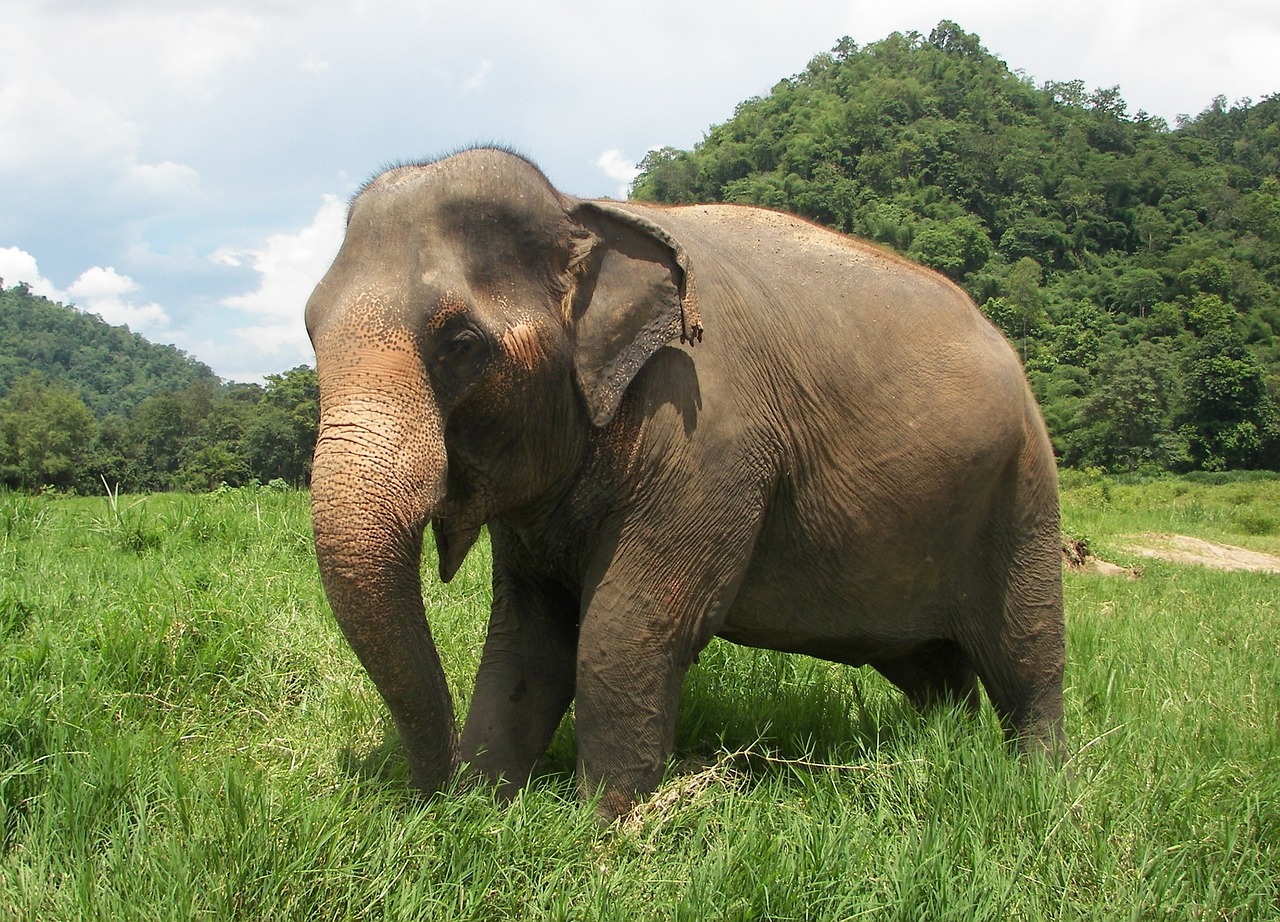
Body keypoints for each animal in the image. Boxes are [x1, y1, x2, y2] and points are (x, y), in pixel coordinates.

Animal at [304, 147, 1064, 819]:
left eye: (461, 344)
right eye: (310, 332)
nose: (424, 801)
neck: (579, 210)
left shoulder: (709, 438)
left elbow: (627, 627)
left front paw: (601, 830)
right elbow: (528, 639)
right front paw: (483, 812)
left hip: (1024, 486)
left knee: (1028, 652)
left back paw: (1037, 782)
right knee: (933, 668)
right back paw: (942, 750)